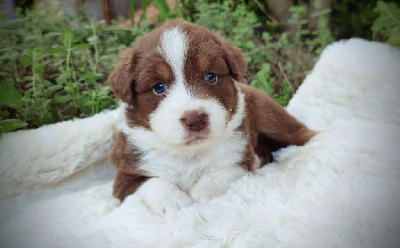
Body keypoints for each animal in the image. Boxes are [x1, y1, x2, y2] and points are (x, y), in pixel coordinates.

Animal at [107, 18, 316, 214]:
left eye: (210, 76)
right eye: (159, 87)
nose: (195, 119)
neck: (191, 153)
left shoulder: (243, 159)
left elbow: (223, 172)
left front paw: (203, 191)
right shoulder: (125, 176)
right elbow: (153, 183)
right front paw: (174, 201)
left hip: (268, 115)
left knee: (302, 134)